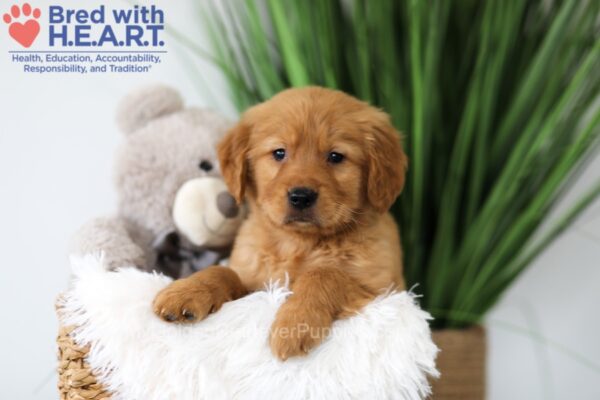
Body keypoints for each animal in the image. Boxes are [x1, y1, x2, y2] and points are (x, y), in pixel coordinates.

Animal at [152, 86, 410, 360]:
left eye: (336, 156)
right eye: (279, 153)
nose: (301, 196)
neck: (300, 242)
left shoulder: (383, 292)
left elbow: (325, 274)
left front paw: (296, 323)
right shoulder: (256, 283)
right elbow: (224, 272)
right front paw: (186, 291)